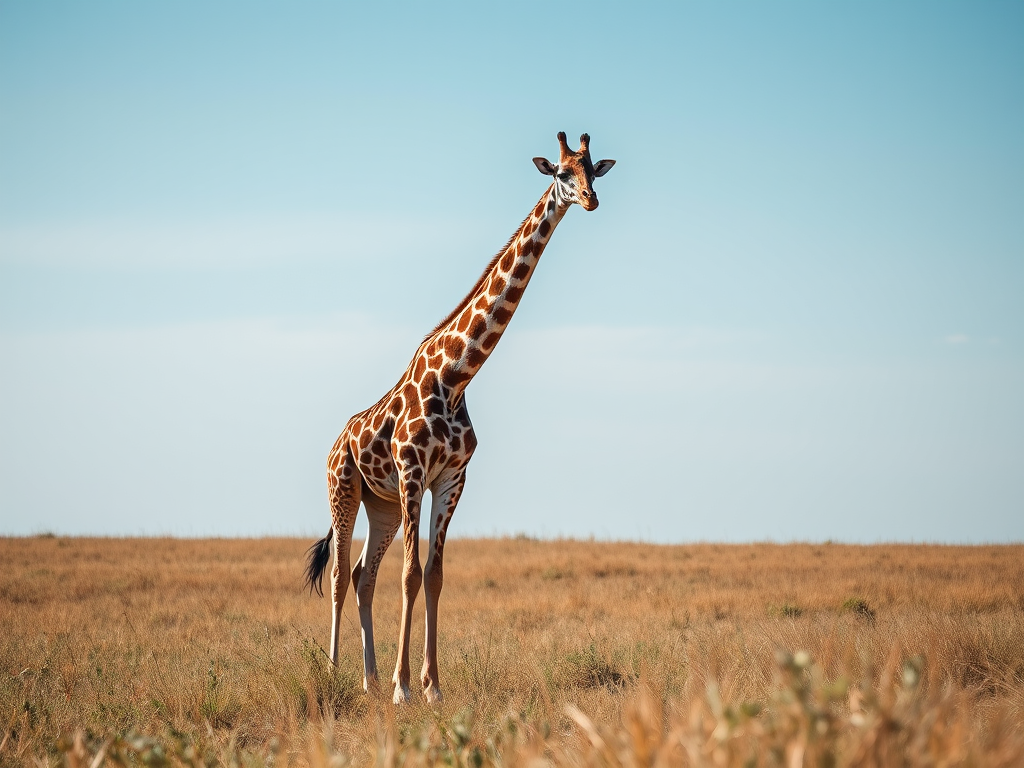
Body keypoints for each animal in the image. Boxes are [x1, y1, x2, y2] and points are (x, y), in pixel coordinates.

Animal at [304, 131, 615, 704]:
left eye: (595, 171)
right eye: (562, 172)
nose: (590, 200)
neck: (456, 377)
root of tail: (336, 442)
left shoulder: (451, 478)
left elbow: (435, 574)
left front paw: (431, 687)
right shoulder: (412, 472)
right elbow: (410, 575)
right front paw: (406, 688)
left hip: (381, 505)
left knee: (362, 576)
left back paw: (369, 680)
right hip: (344, 489)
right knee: (337, 575)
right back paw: (337, 674)